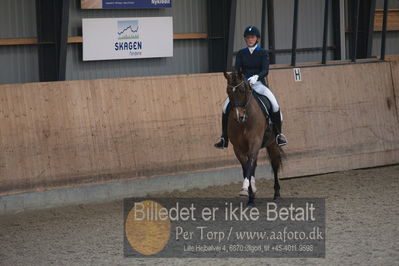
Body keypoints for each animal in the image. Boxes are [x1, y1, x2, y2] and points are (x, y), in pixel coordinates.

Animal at [223, 70, 286, 204]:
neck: (244, 122)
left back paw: (277, 193)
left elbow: (250, 164)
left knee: (274, 164)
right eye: (228, 91)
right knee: (253, 165)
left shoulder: (255, 142)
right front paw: (249, 193)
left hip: (273, 144)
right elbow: (246, 167)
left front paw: (246, 188)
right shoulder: (238, 148)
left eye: (242, 90)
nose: (239, 117)